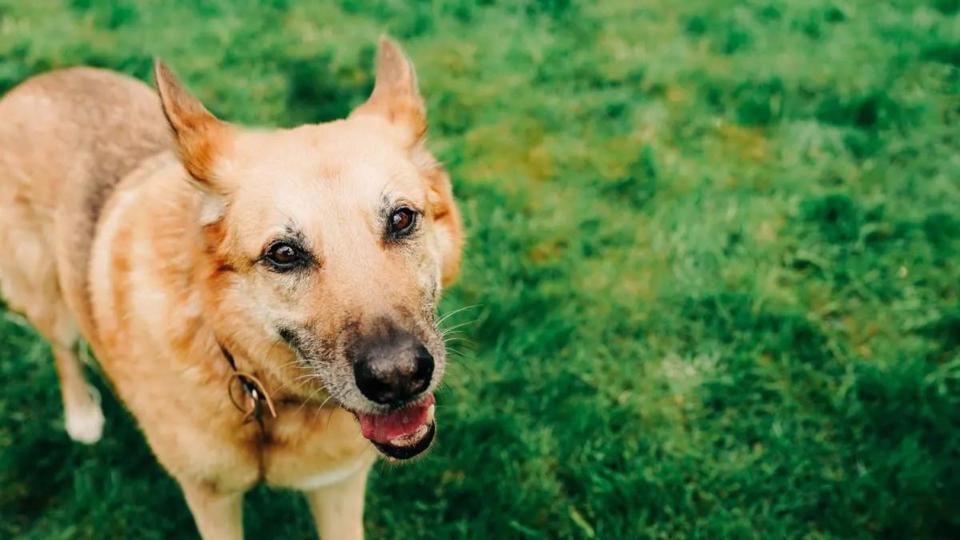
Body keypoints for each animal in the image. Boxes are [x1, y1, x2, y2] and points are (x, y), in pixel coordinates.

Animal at [0, 38, 462, 540]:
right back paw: (82, 414)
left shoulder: (337, 486)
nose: (399, 378)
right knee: (64, 349)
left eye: (401, 219)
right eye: (284, 253)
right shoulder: (210, 499)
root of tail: (41, 81)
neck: (258, 388)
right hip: (48, 299)